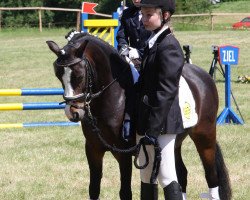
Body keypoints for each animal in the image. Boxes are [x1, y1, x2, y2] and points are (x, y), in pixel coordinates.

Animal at [46, 33, 230, 200]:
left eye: (79, 74)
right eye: (58, 74)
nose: (73, 112)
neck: (113, 97)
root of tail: (202, 75)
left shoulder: (124, 154)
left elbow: (125, 192)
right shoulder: (93, 149)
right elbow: (94, 189)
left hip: (204, 136)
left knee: (211, 176)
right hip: (174, 143)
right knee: (181, 175)